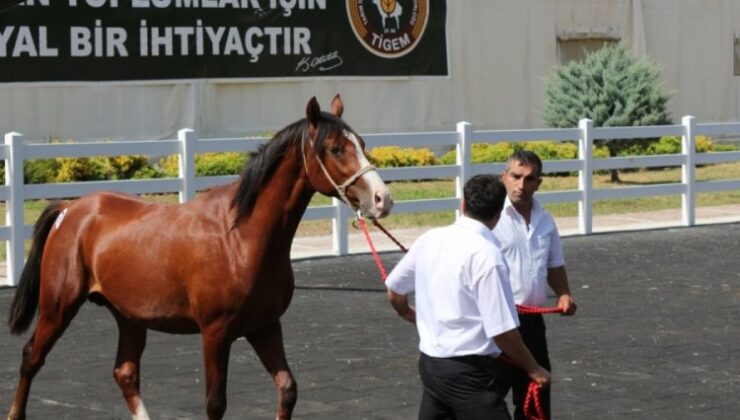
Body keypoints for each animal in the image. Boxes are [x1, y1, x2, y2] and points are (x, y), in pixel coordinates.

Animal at [4, 96, 394, 420]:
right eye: (334, 148)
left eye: (362, 144)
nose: (382, 199)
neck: (240, 237)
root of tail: (70, 210)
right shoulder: (215, 333)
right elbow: (215, 403)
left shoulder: (265, 325)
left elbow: (287, 389)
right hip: (58, 307)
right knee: (31, 358)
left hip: (128, 315)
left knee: (125, 373)